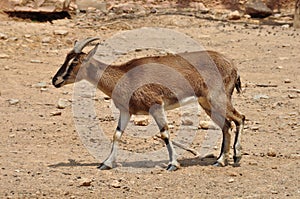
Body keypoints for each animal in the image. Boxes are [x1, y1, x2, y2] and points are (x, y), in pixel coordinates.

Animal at [52, 37, 244, 171]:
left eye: (75, 62)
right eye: (66, 58)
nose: (55, 80)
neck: (125, 75)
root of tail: (232, 65)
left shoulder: (156, 105)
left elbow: (164, 133)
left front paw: (173, 164)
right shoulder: (126, 111)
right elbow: (117, 135)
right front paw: (106, 163)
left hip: (218, 99)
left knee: (240, 118)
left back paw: (236, 156)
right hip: (207, 103)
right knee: (227, 125)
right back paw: (220, 161)